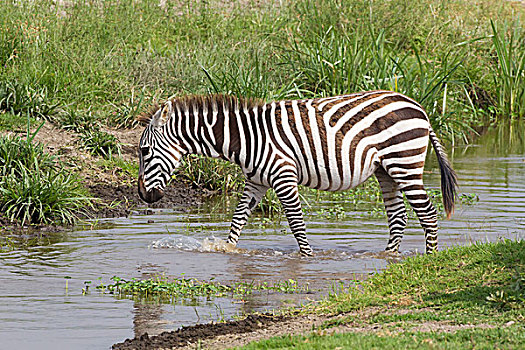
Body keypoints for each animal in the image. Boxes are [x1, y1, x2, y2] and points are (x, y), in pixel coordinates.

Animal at [137, 90, 456, 254]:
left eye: (143, 152)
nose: (143, 196)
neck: (245, 138)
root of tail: (419, 108)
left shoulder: (283, 177)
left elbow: (296, 225)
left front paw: (307, 259)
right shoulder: (255, 182)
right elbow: (237, 221)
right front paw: (228, 252)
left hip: (404, 163)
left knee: (428, 213)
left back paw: (429, 259)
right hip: (386, 171)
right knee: (398, 216)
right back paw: (388, 257)